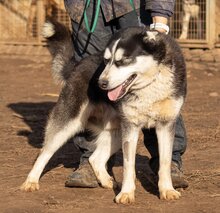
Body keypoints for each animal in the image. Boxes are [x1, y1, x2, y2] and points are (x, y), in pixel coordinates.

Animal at [20, 20, 186, 204]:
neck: (150, 84)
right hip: (69, 124)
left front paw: (167, 190)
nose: (101, 83)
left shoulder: (165, 125)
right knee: (44, 153)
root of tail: (77, 65)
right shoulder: (131, 127)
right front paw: (126, 193)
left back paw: (107, 181)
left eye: (124, 60)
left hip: (116, 132)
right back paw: (31, 181)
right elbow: (129, 165)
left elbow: (164, 162)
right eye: (106, 61)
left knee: (95, 158)